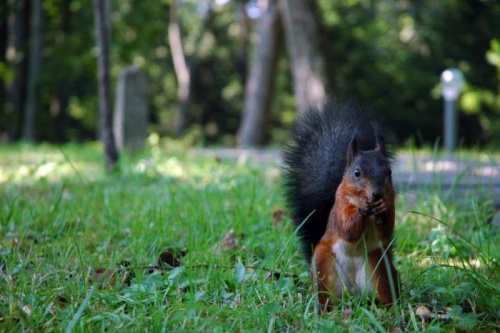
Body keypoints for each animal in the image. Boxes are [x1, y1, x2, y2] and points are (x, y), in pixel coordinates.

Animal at [284, 100, 400, 310]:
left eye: (389, 171)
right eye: (357, 173)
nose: (377, 193)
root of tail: (353, 291)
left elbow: (387, 228)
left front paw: (383, 208)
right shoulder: (339, 206)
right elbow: (347, 229)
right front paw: (361, 208)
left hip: (378, 265)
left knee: (384, 290)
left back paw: (391, 309)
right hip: (323, 266)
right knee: (325, 295)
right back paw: (323, 309)